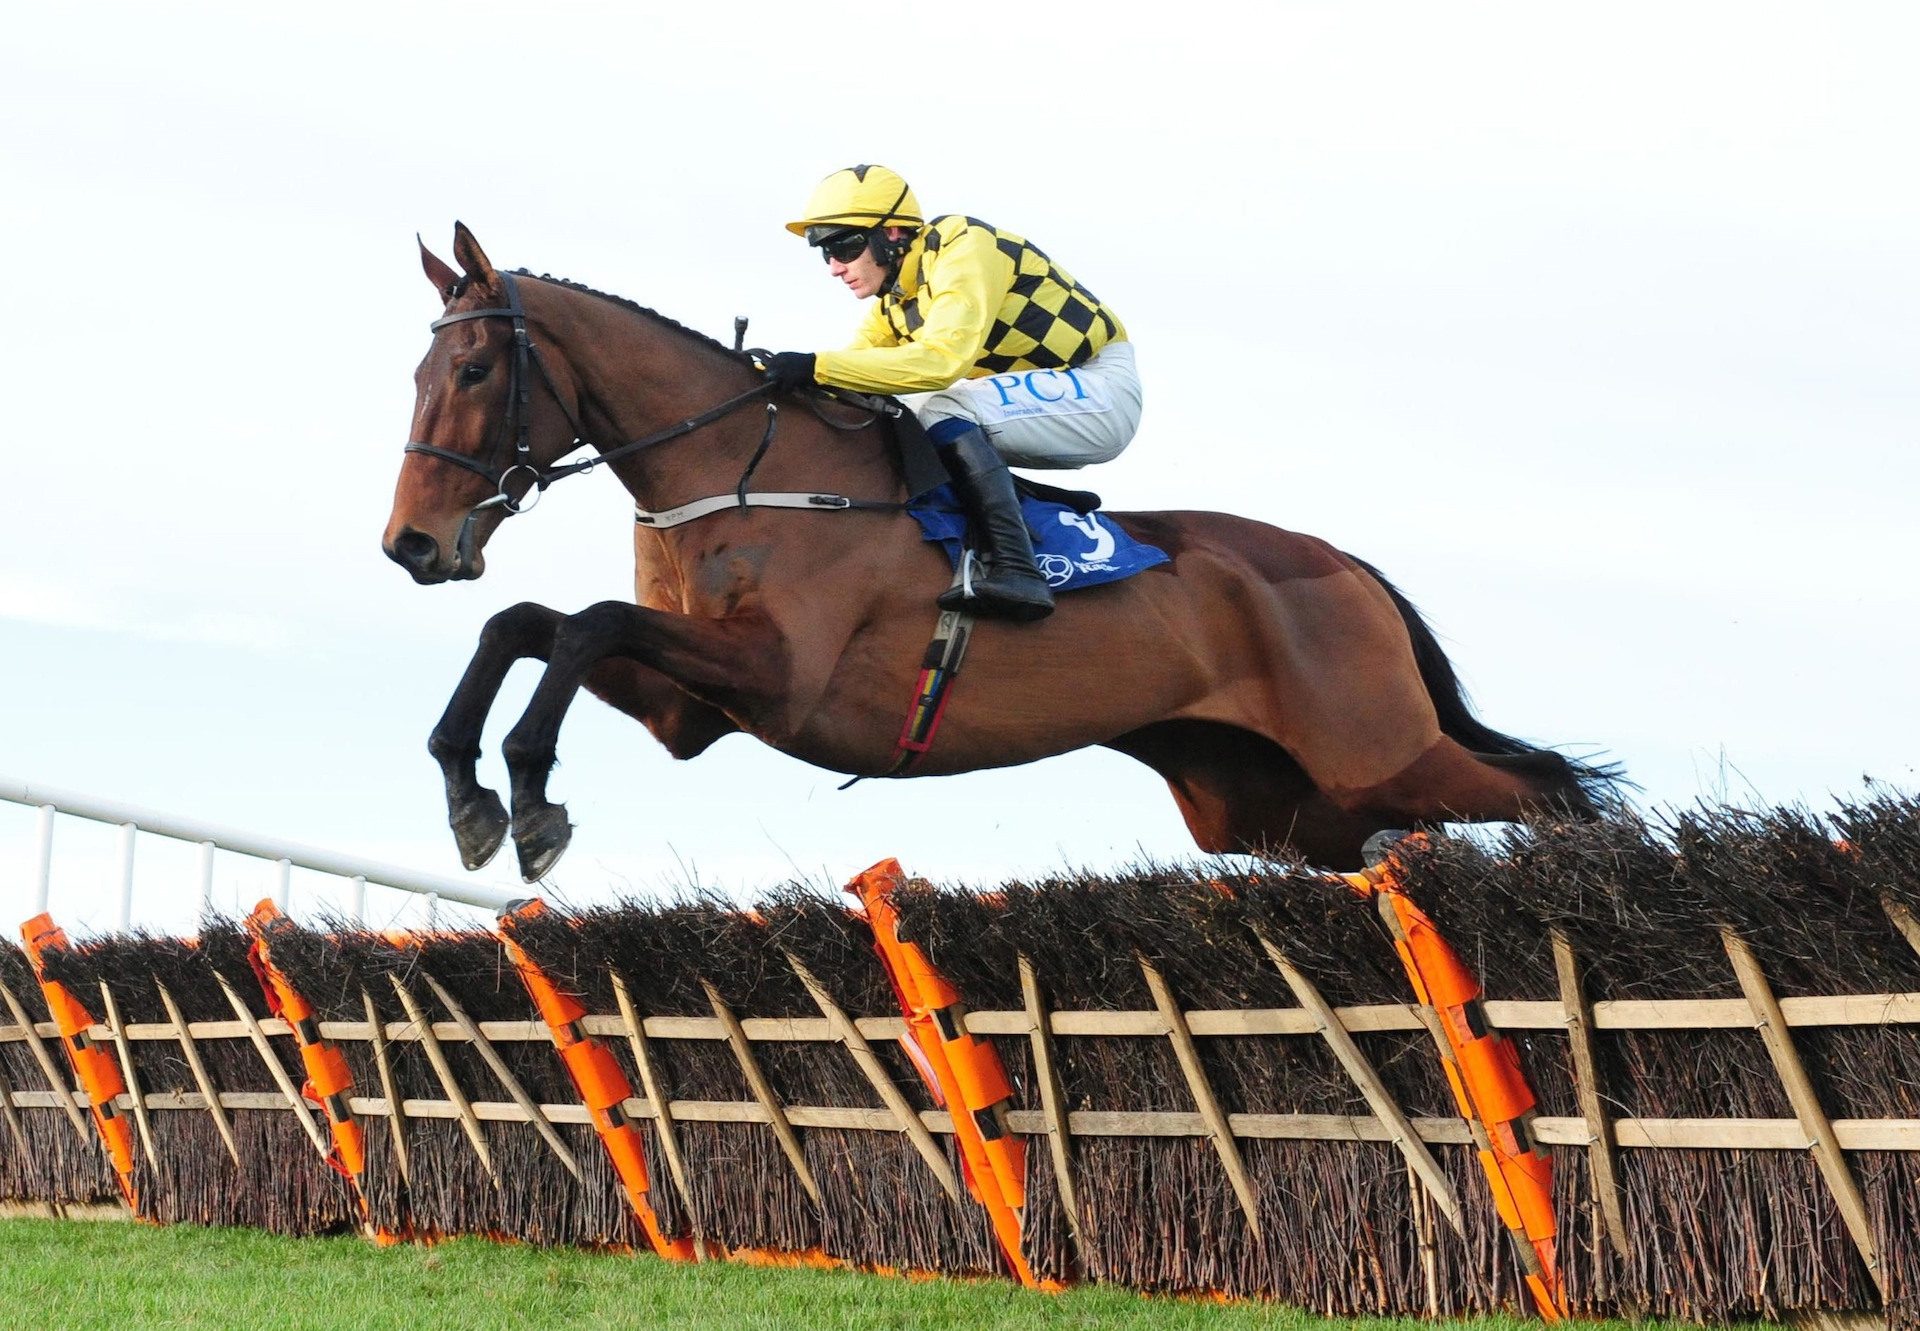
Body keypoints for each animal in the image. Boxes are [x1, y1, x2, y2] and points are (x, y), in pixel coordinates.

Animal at [382, 221, 1612, 875]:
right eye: (419, 370)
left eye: (477, 370)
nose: (412, 544)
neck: (738, 463)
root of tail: (1349, 568)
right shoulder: (695, 706)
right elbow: (529, 623)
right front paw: (472, 791)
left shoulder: (779, 676)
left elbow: (585, 623)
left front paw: (527, 794)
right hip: (1286, 809)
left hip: (1376, 754)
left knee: (1552, 789)